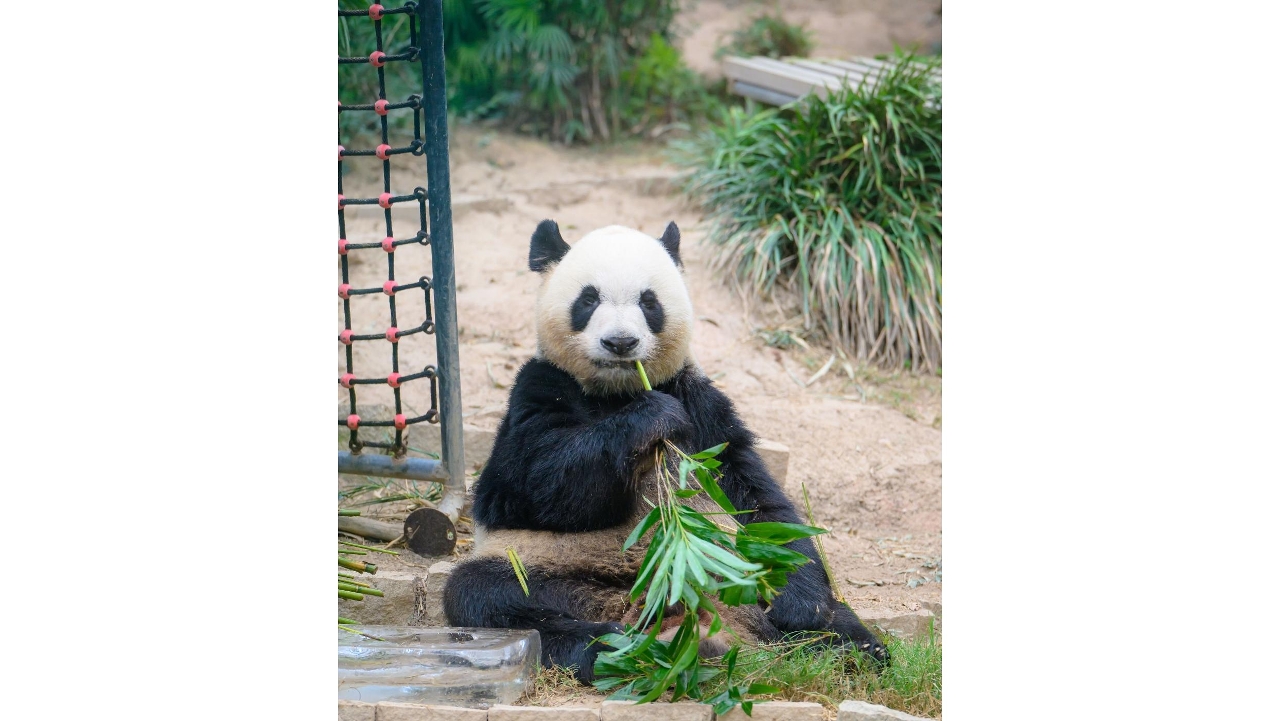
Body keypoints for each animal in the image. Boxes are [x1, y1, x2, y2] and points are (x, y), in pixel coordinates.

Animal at [443, 219, 887, 682]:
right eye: (588, 299)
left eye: (649, 301)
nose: (621, 343)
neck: (619, 392)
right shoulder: (538, 389)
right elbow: (535, 485)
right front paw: (653, 418)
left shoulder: (700, 405)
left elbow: (754, 493)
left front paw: (801, 603)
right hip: (544, 566)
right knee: (488, 595)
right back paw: (617, 646)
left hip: (735, 573)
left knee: (836, 618)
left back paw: (852, 651)